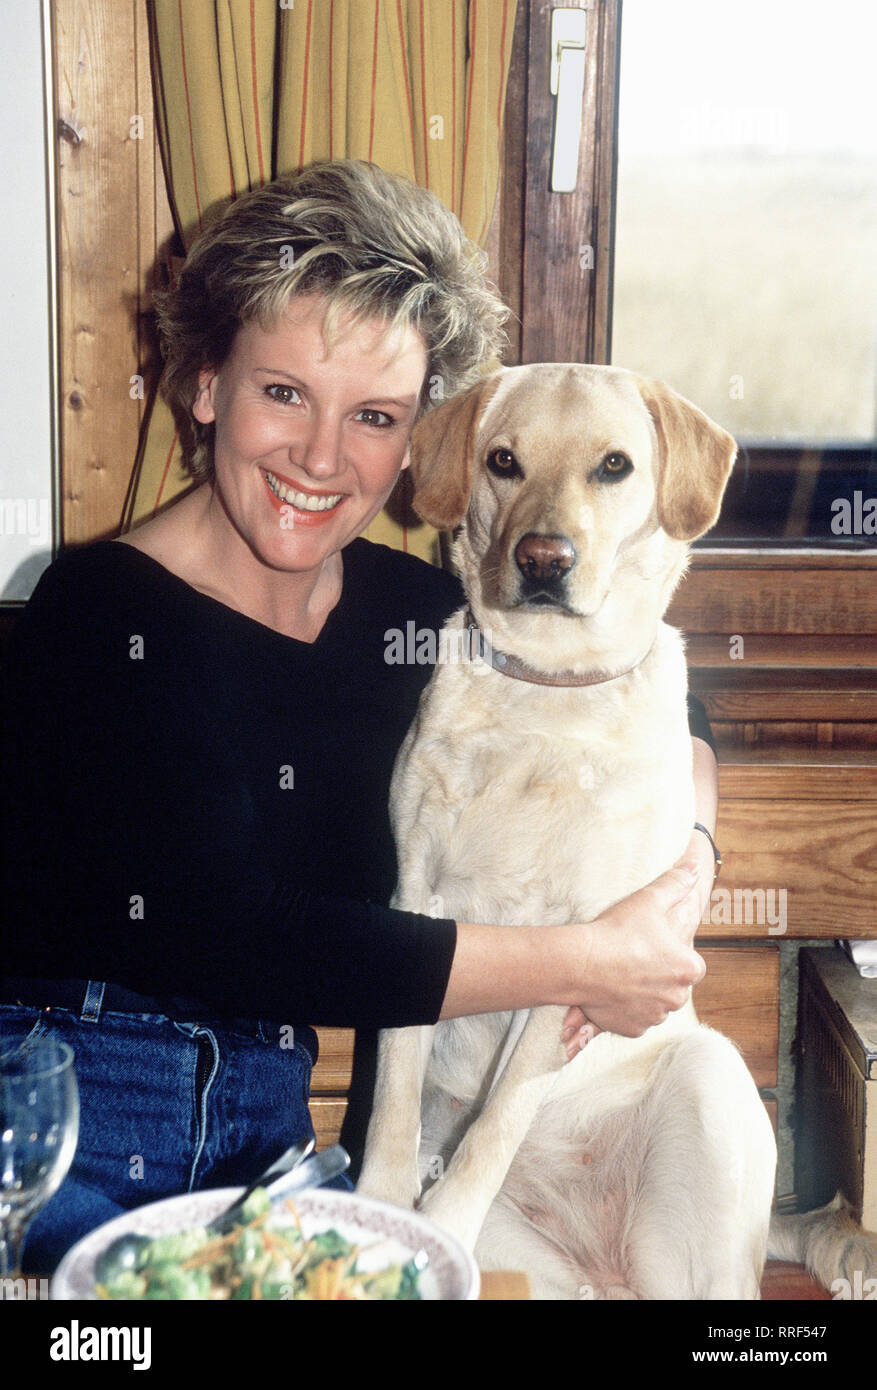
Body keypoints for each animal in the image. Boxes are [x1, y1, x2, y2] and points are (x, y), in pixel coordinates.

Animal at [355, 364, 877, 1295]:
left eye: (613, 466)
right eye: (502, 460)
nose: (543, 560)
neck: (546, 689)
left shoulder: (587, 947)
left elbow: (497, 1121)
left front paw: (438, 1224)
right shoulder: (415, 904)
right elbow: (391, 1097)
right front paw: (380, 1217)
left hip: (709, 1094)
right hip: (543, 1270)